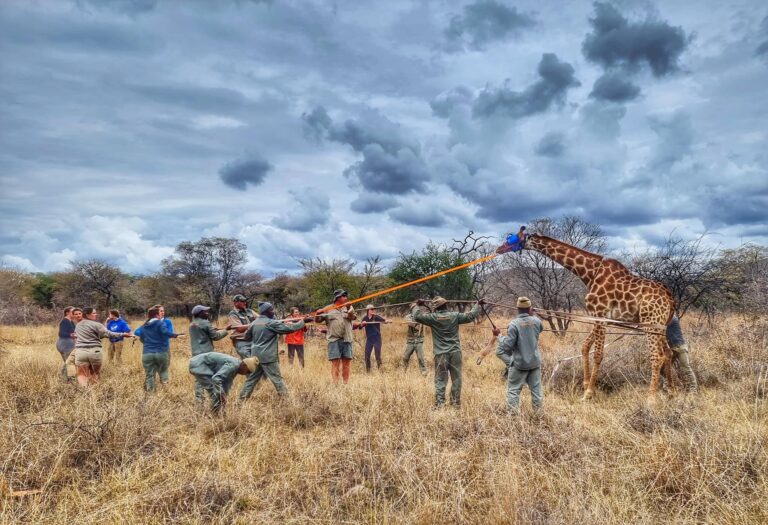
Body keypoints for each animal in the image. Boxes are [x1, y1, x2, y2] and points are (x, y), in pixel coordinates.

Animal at [498, 225, 672, 402]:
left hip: (651, 323)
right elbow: (585, 347)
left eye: (511, 238)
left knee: (657, 356)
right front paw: (586, 384)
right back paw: (671, 391)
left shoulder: (600, 315)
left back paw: (651, 398)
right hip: (661, 325)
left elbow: (598, 354)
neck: (589, 273)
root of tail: (670, 299)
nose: (499, 249)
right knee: (668, 352)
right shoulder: (598, 317)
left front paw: (589, 392)